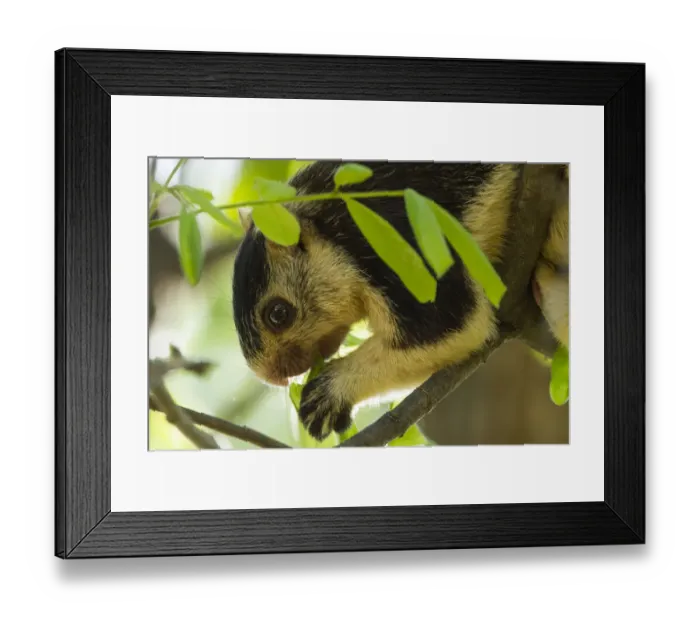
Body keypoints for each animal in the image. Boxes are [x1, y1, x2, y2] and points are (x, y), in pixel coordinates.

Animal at [232, 160, 569, 442]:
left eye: (278, 314)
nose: (273, 377)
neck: (335, 229)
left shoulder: (401, 248)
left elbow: (451, 325)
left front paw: (329, 394)